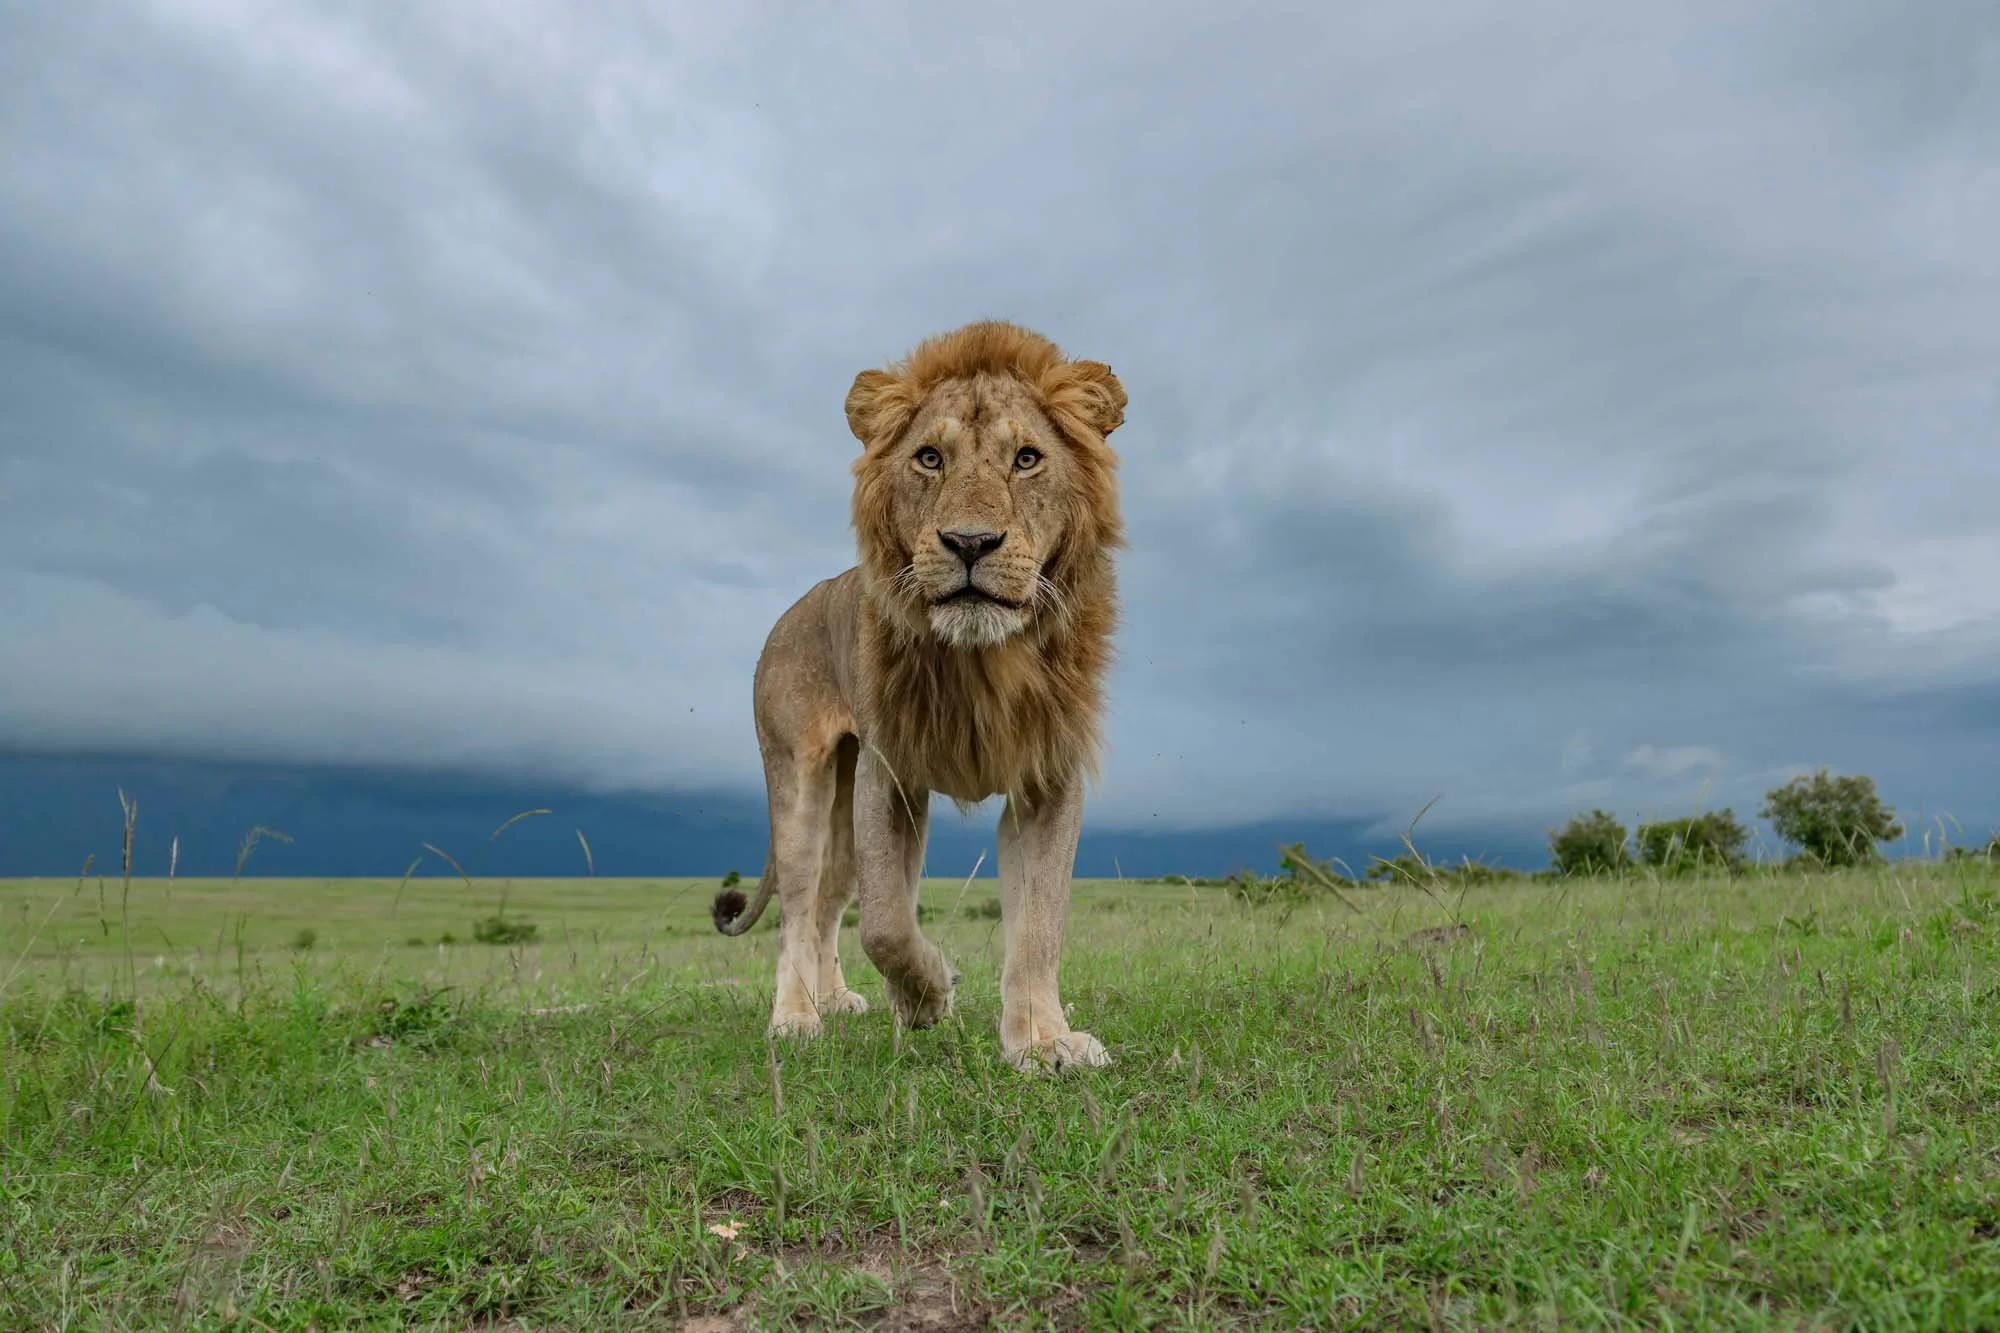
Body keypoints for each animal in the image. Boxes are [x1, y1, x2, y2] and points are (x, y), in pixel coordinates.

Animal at [710, 319, 1128, 1073]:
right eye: (929, 458)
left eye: (1027, 458)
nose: (970, 541)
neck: (983, 661)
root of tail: (790, 612)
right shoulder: (892, 775)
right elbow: (886, 922)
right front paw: (928, 995)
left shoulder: (1047, 779)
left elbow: (1039, 924)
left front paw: (1044, 1040)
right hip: (801, 781)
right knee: (796, 907)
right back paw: (796, 1016)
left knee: (826, 901)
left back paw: (835, 1000)